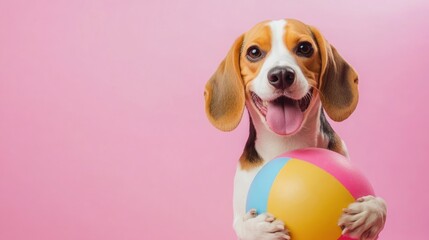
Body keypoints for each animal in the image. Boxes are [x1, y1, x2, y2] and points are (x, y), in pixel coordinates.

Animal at [204, 19, 388, 240]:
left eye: (304, 48)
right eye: (254, 52)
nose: (282, 74)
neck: (287, 143)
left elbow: (381, 205)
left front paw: (370, 212)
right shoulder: (239, 210)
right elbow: (241, 225)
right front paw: (257, 229)